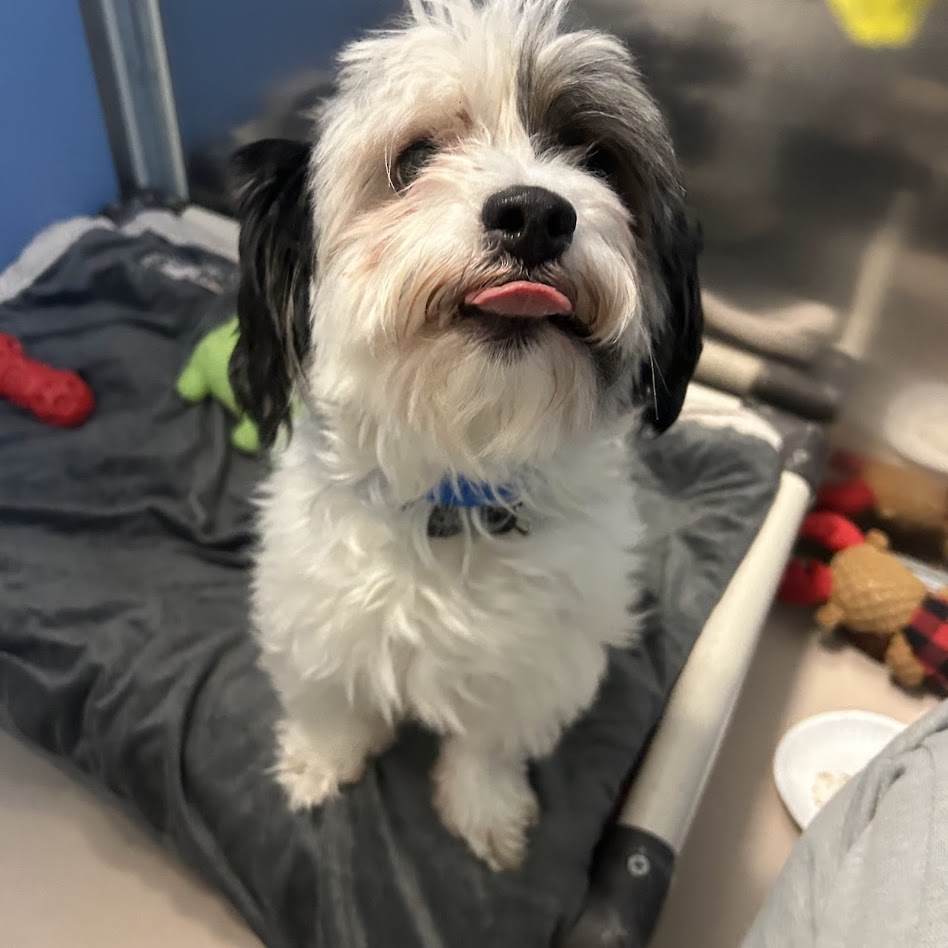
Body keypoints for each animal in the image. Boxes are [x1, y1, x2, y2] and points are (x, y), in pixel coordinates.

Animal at [230, 0, 702, 872]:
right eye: (414, 158)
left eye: (594, 156)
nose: (537, 212)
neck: (457, 482)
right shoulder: (314, 611)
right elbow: (330, 700)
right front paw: (319, 762)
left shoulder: (535, 664)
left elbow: (490, 740)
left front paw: (485, 810)